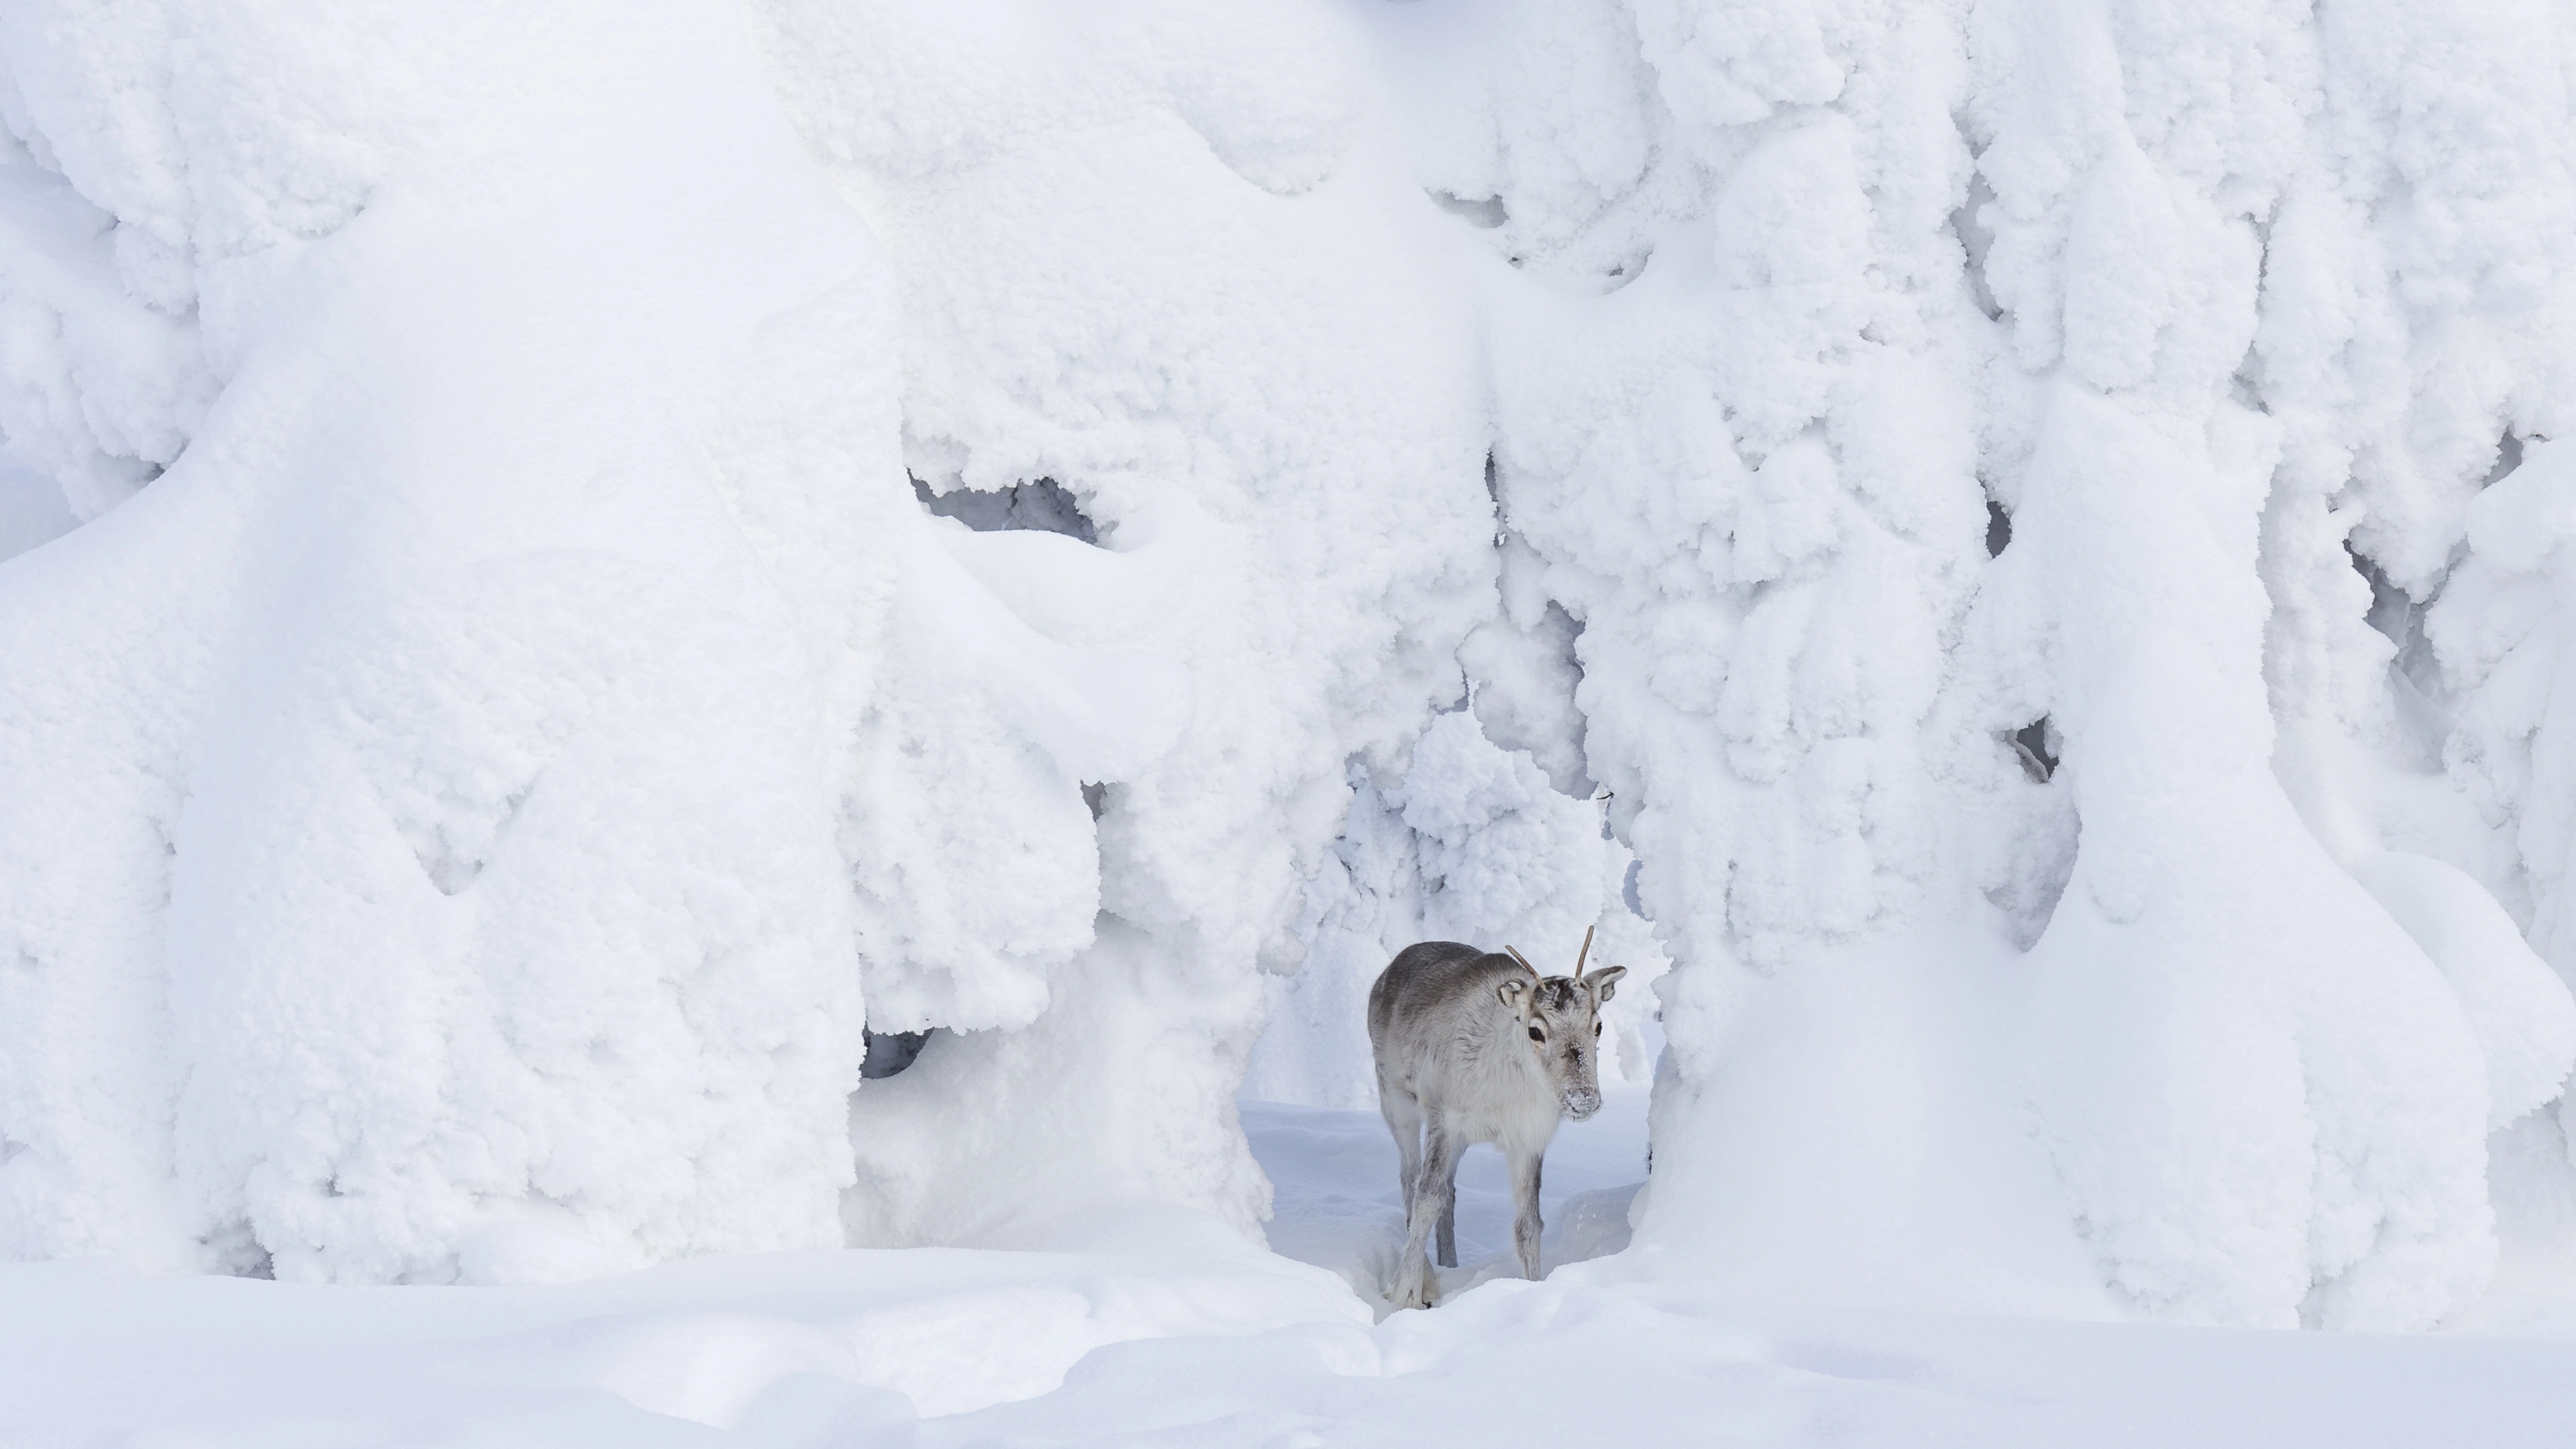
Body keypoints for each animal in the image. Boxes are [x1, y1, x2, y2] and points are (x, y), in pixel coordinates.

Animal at [1368, 924, 1626, 1310]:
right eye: (1535, 1030)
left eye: (1598, 1027)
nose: (1584, 1101)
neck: (1509, 1090)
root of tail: (1387, 971)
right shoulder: (1445, 1120)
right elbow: (1426, 1199)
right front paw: (1406, 1293)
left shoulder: (1528, 1139)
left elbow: (1528, 1224)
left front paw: (1535, 1287)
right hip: (1397, 1103)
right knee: (1409, 1180)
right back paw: (1428, 1276)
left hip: (1459, 1139)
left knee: (1450, 1191)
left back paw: (1450, 1264)